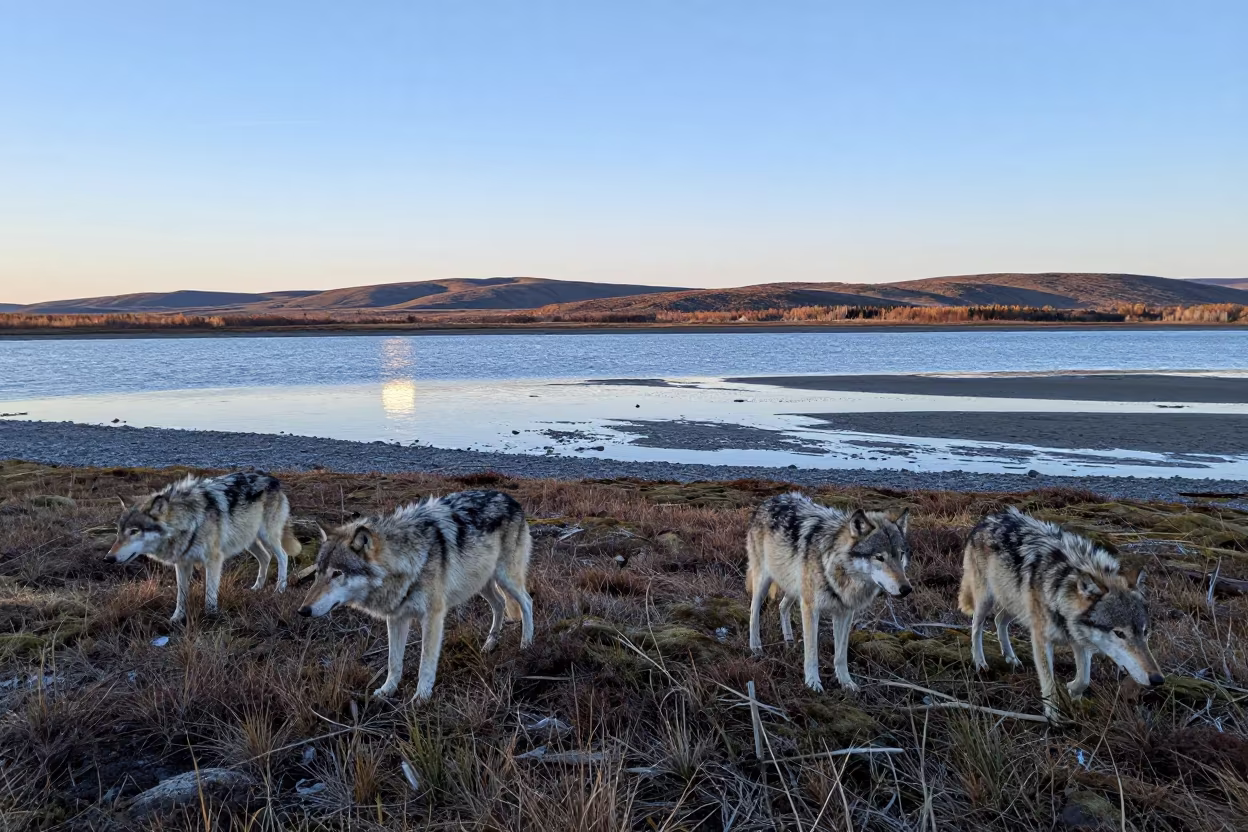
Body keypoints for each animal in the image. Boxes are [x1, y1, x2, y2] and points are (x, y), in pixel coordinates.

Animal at [107, 471, 297, 623]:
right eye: (118, 531)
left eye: (134, 531)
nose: (108, 558)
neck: (189, 520)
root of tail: (272, 478)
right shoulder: (182, 563)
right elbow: (181, 595)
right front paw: (177, 618)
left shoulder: (213, 560)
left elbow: (210, 595)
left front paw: (211, 618)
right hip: (248, 540)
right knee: (266, 557)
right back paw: (257, 587)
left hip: (267, 537)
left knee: (283, 556)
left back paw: (280, 588)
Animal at [298, 489, 535, 701]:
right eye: (318, 572)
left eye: (337, 573)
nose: (303, 610)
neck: (408, 560)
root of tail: (510, 498)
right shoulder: (396, 618)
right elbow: (394, 661)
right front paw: (387, 690)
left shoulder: (433, 616)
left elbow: (425, 663)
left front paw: (421, 697)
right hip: (481, 583)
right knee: (500, 603)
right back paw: (490, 644)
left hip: (505, 578)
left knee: (527, 602)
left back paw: (526, 643)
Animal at [746, 492, 912, 693]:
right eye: (879, 557)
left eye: (901, 555)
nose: (906, 589)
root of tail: (769, 500)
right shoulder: (811, 607)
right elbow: (812, 652)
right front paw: (813, 683)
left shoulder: (845, 612)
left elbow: (841, 654)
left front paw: (846, 682)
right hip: (764, 582)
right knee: (754, 611)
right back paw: (756, 647)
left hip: (795, 586)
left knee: (782, 606)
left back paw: (789, 642)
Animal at [959, 507, 1164, 723]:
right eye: (1119, 633)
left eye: (1145, 632)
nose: (1158, 679)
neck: (1060, 587)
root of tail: (988, 518)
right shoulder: (1041, 638)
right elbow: (1049, 680)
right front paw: (1053, 716)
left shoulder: (1078, 637)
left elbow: (1084, 677)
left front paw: (1073, 691)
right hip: (986, 600)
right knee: (976, 627)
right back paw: (980, 662)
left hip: (1016, 603)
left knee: (999, 621)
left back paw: (1010, 657)